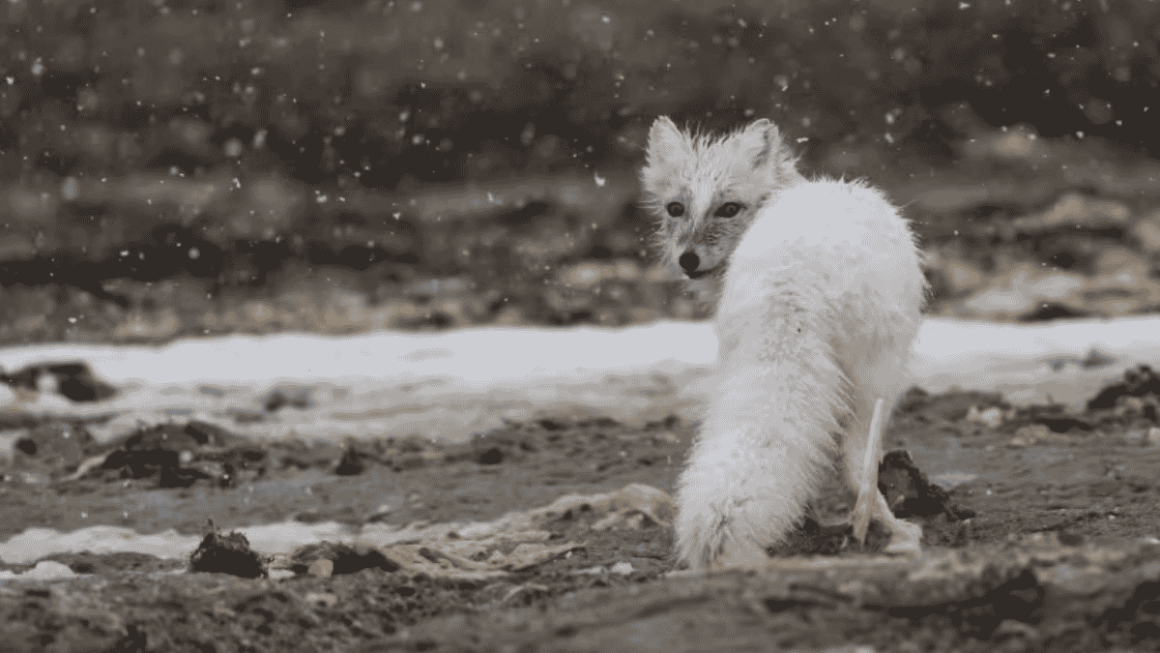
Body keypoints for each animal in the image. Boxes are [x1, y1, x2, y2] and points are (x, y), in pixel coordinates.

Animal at [641, 116, 926, 571]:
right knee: (858, 466)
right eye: (675, 208)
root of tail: (791, 281)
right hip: (880, 380)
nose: (687, 260)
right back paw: (882, 530)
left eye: (729, 208)